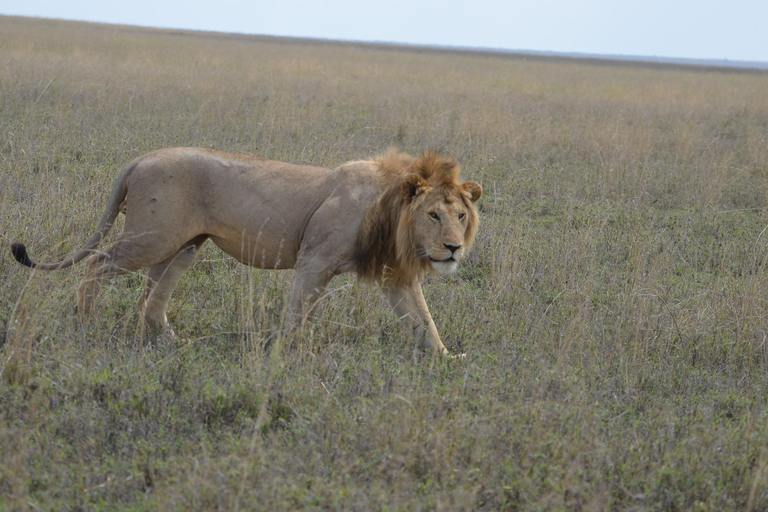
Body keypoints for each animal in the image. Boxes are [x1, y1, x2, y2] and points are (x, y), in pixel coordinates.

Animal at [10, 148, 480, 356]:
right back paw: (84, 326)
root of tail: (143, 157)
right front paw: (283, 357)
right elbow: (297, 315)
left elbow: (423, 320)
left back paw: (168, 341)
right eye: (433, 215)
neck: (388, 208)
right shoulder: (314, 261)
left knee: (152, 296)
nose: (453, 249)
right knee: (96, 265)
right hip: (153, 237)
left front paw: (445, 360)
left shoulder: (394, 277)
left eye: (460, 215)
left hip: (183, 246)